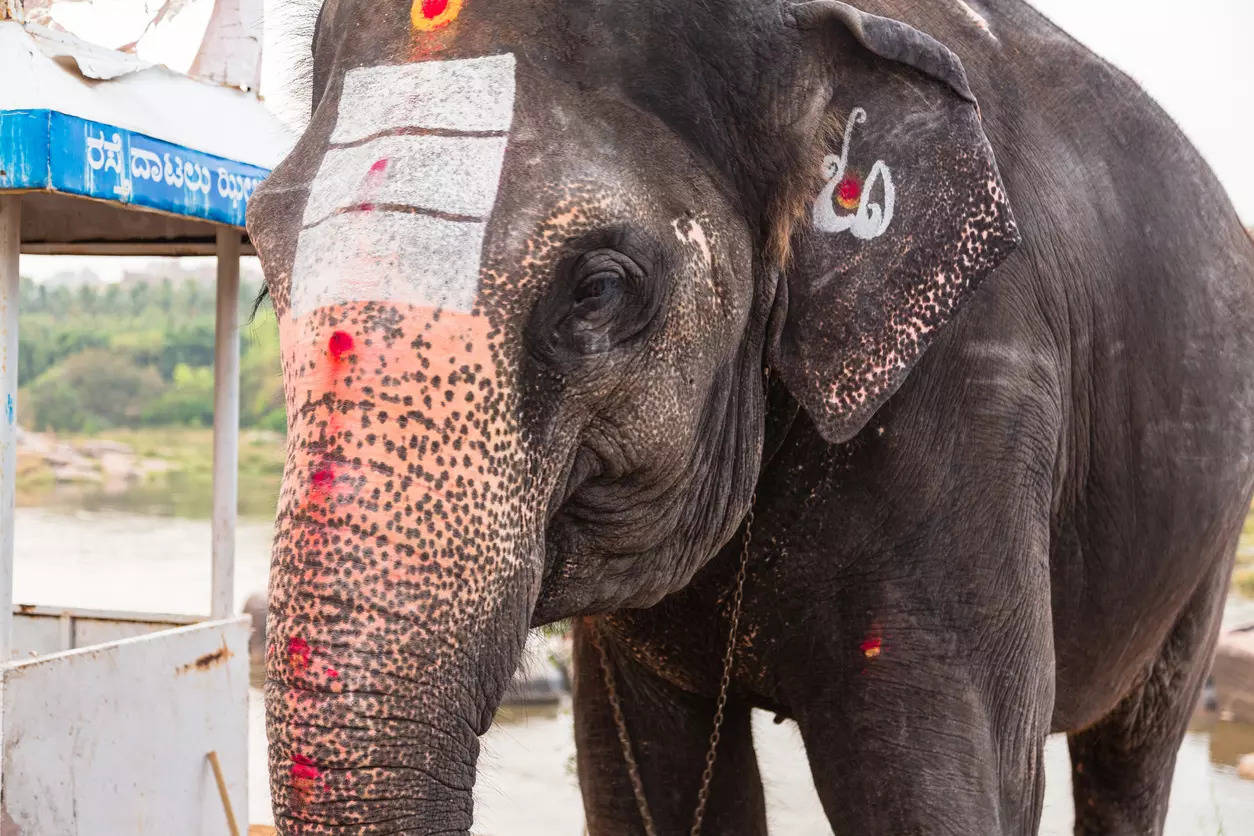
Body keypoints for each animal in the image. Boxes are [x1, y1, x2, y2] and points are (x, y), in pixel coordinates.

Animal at [244, 0, 1254, 832]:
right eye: (261, 266)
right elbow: (642, 778)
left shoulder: (983, 389)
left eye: (598, 289)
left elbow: (942, 790)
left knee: (1135, 752)